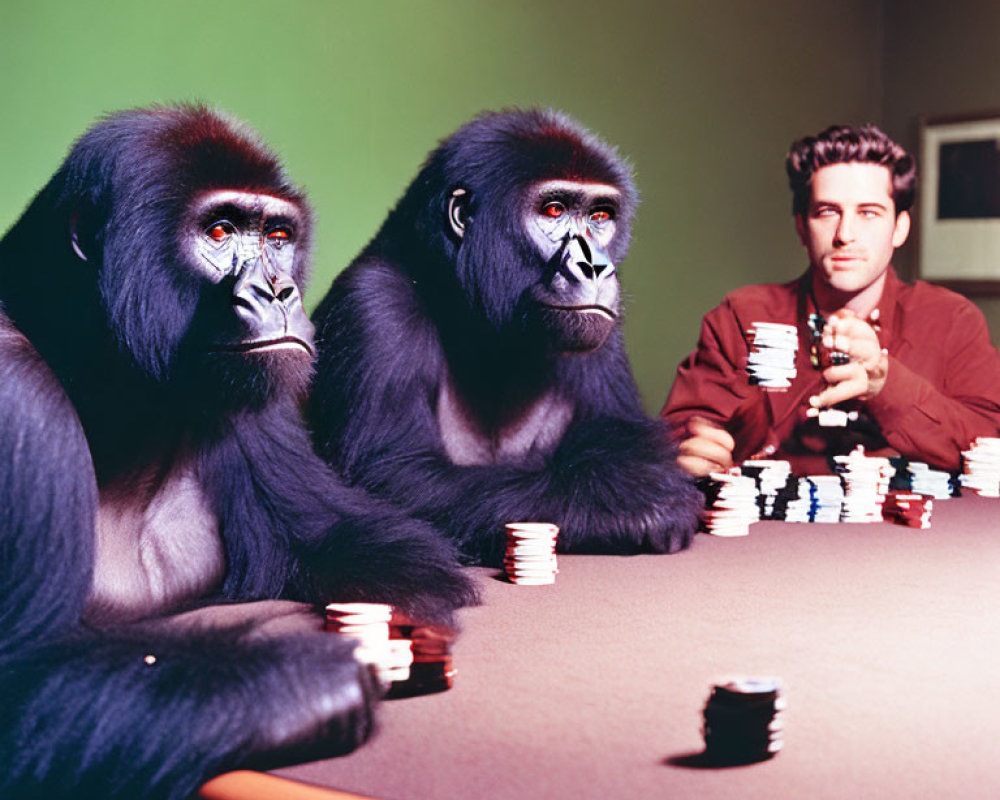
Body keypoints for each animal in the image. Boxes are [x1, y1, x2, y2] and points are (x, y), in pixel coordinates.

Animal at [0, 106, 476, 800]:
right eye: (220, 231)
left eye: (277, 236)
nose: (279, 291)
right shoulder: (16, 390)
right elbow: (21, 680)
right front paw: (305, 682)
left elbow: (365, 541)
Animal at [312, 109, 704, 564]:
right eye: (553, 210)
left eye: (600, 217)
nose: (595, 267)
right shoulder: (373, 305)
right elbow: (393, 476)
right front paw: (631, 501)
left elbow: (620, 431)